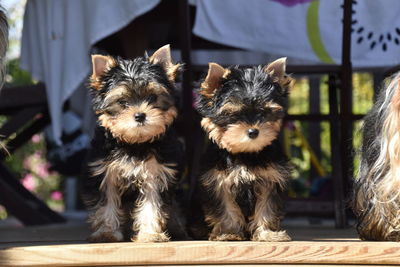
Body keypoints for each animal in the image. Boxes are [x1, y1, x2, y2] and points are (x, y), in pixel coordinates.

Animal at [85, 45, 185, 243]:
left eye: (152, 98)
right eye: (122, 102)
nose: (140, 115)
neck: (134, 143)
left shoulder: (155, 174)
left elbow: (152, 205)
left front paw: (151, 235)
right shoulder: (106, 173)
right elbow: (107, 204)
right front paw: (107, 232)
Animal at [195, 58, 292, 243]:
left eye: (264, 112)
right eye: (234, 115)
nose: (253, 131)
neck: (245, 153)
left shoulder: (271, 179)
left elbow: (266, 208)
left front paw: (268, 234)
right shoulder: (218, 181)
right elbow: (226, 208)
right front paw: (229, 232)